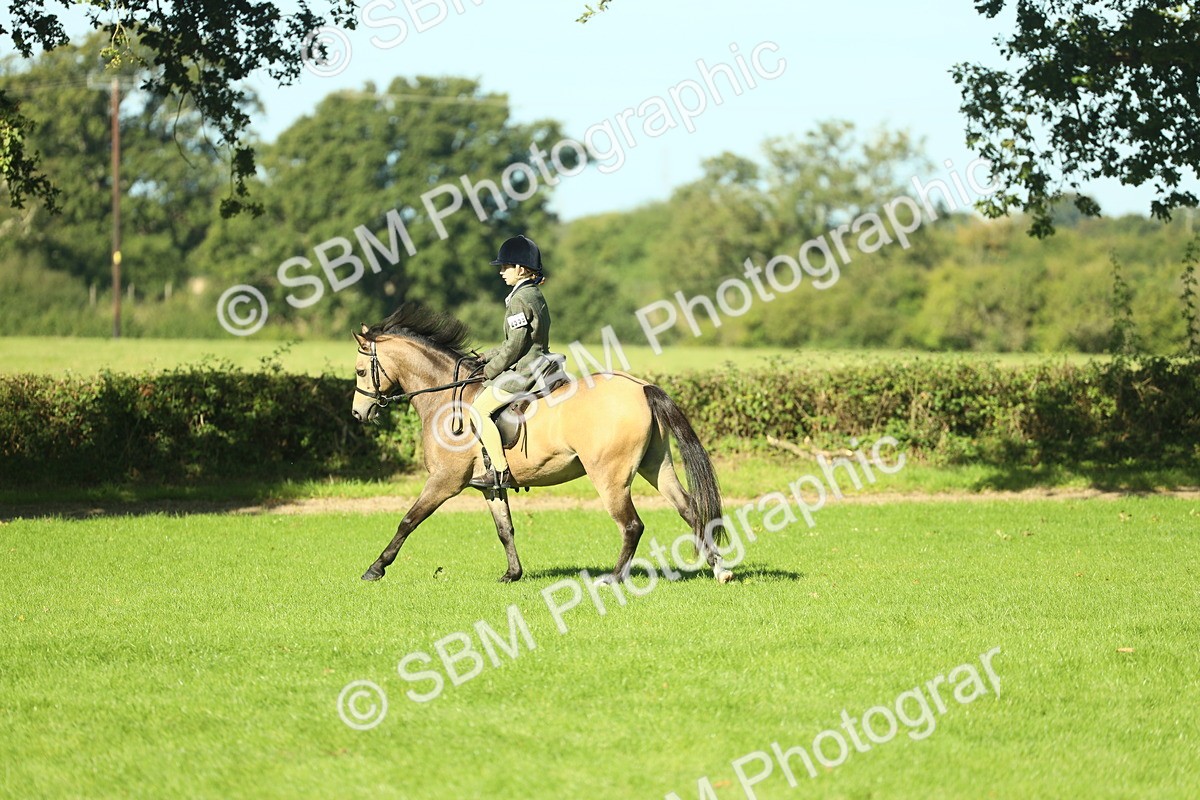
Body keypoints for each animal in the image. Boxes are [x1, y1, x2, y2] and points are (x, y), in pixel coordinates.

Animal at [350, 303, 733, 585]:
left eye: (359, 371)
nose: (357, 413)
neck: (446, 397)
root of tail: (640, 387)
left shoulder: (444, 481)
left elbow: (408, 520)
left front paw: (375, 568)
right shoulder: (490, 486)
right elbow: (505, 529)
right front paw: (512, 574)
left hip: (610, 477)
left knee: (631, 525)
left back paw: (613, 578)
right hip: (657, 466)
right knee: (690, 510)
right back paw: (719, 570)